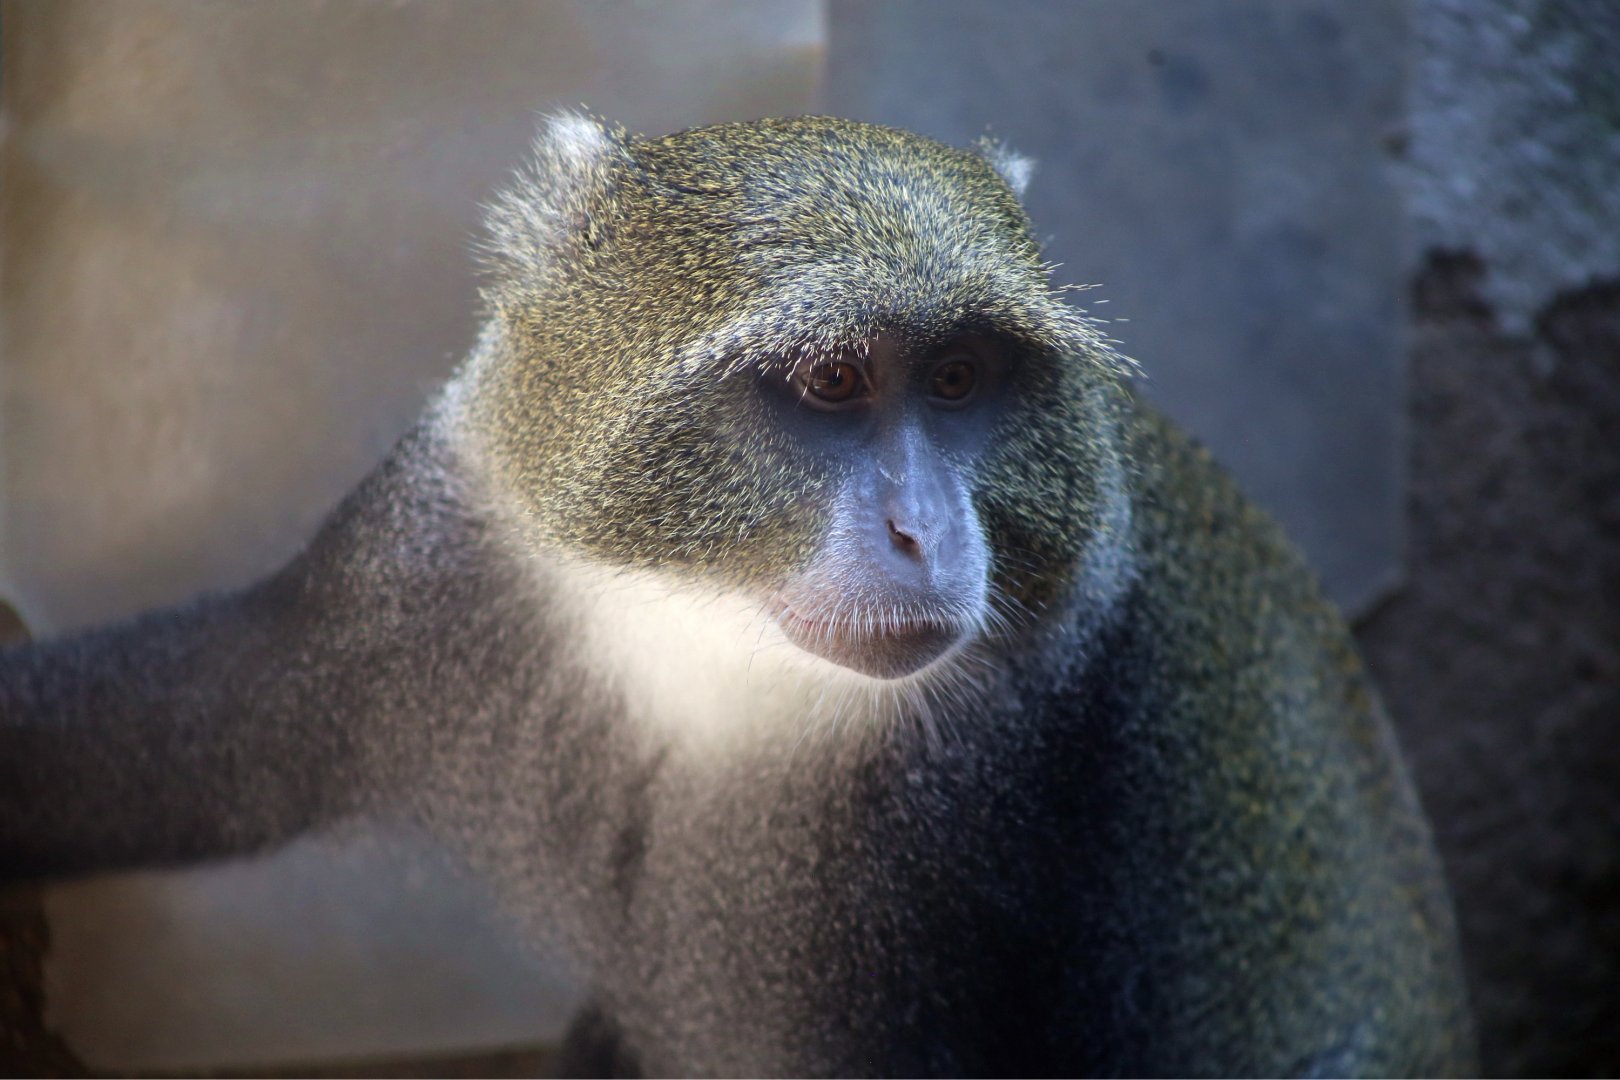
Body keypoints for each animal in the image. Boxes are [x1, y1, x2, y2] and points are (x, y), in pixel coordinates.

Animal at [0, 114, 1474, 1076]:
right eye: (833, 380)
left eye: (959, 380)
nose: (924, 533)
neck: (702, 639)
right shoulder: (448, 550)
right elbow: (209, 738)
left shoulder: (915, 839)